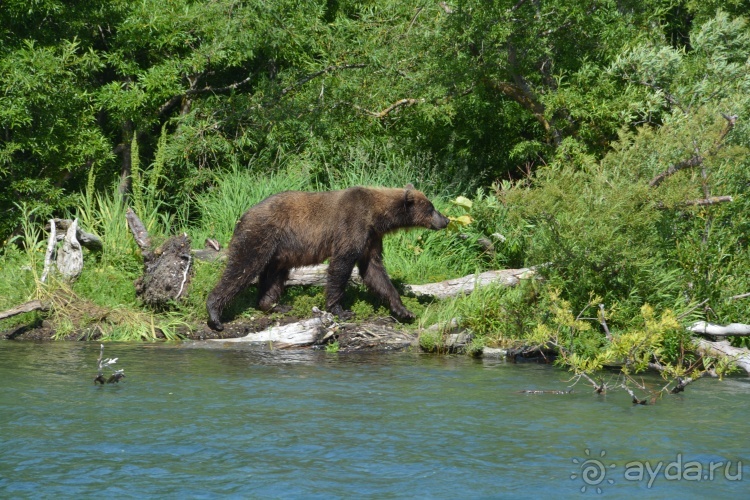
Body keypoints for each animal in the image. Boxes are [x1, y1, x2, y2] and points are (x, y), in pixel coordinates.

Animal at [206, 186, 450, 330]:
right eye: (431, 208)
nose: (446, 220)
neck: (377, 216)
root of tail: (244, 215)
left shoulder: (371, 238)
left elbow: (374, 271)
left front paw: (404, 311)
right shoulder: (352, 225)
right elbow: (341, 264)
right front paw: (340, 309)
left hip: (280, 249)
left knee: (274, 275)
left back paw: (275, 304)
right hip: (261, 235)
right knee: (243, 267)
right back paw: (215, 314)